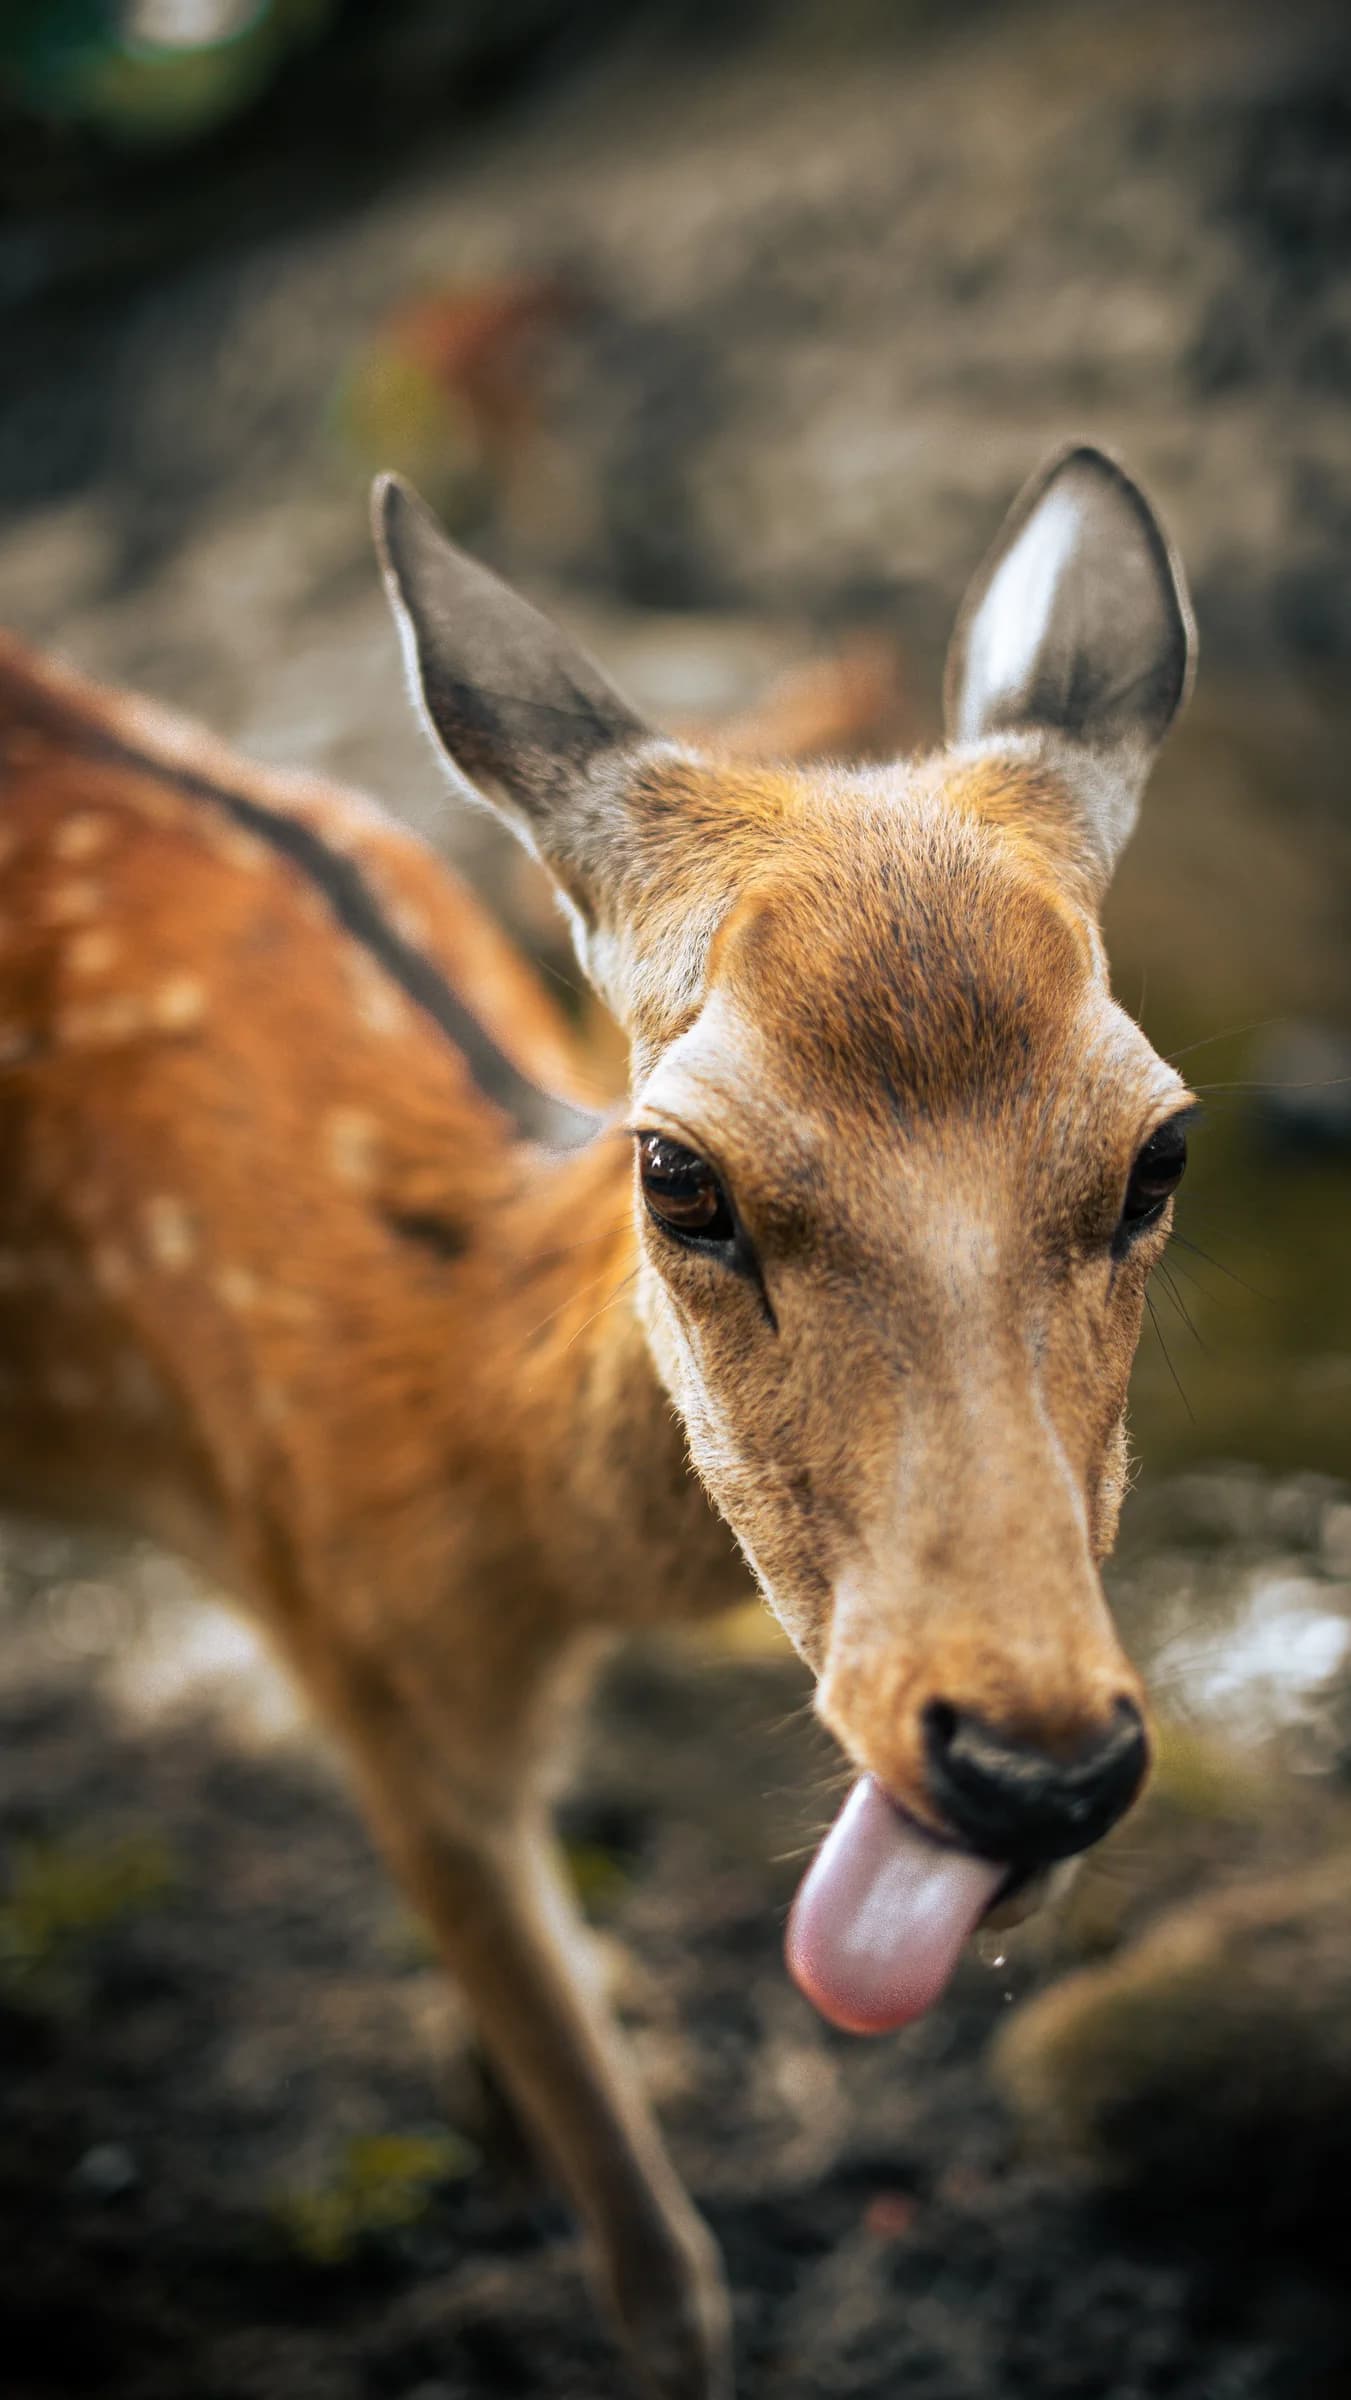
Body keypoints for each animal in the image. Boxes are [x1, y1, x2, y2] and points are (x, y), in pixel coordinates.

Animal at [0, 443, 1195, 2399]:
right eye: (677, 1171)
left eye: (1158, 1149)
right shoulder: (358, 1657)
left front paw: (492, 2119)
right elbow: (662, 2269)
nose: (1033, 1766)